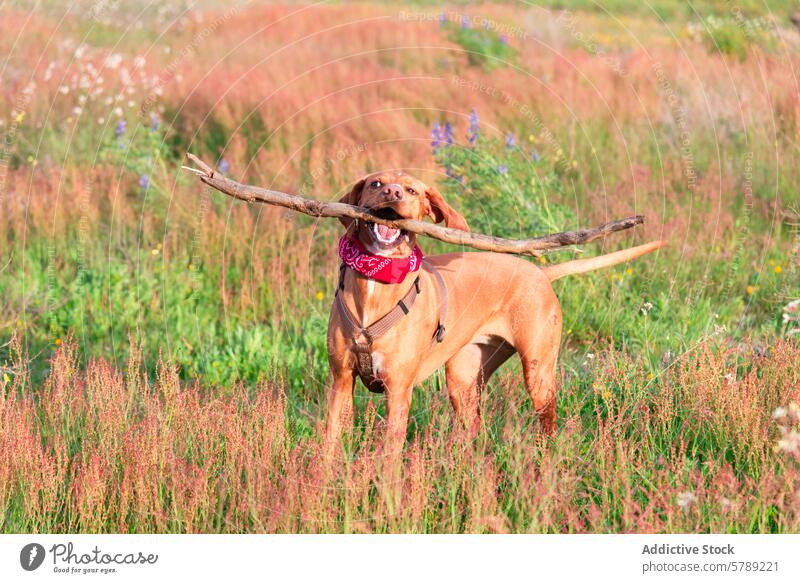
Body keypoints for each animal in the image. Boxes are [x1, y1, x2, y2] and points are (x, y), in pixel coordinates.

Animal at [324, 171, 664, 454]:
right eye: (376, 183)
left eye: (411, 190)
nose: (392, 192)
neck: (376, 283)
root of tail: (541, 272)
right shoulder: (341, 382)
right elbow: (330, 443)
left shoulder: (398, 391)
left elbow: (390, 457)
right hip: (463, 378)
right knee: (473, 428)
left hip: (538, 374)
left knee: (548, 425)